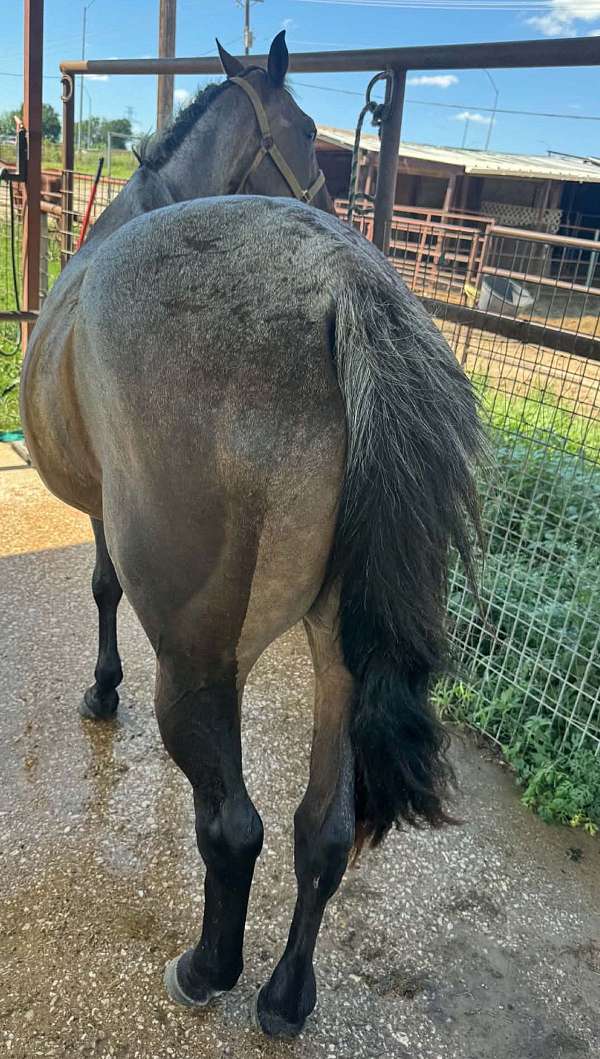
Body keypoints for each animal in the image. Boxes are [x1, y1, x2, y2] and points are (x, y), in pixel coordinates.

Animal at [20, 33, 484, 1038]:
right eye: (309, 131)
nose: (331, 196)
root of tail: (344, 288)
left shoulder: (103, 518)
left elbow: (102, 588)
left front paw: (102, 692)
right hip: (338, 653)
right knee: (323, 830)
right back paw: (283, 997)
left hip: (200, 657)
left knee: (235, 826)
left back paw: (207, 970)